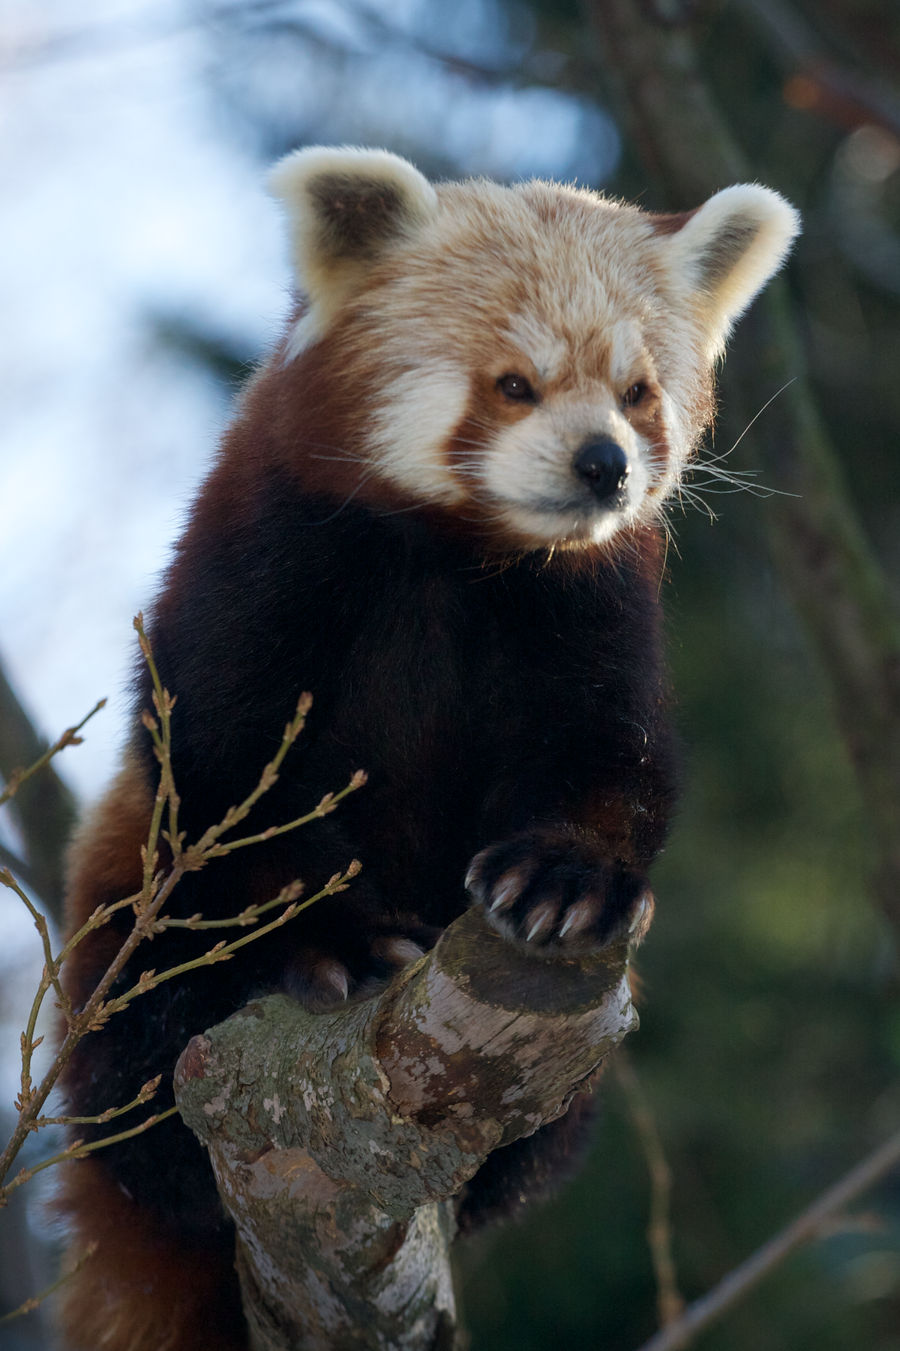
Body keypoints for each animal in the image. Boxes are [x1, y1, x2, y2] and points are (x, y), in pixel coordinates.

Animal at [57, 150, 794, 1351]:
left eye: (639, 393)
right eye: (514, 384)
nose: (604, 464)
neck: (458, 556)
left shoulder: (588, 610)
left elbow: (611, 756)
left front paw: (567, 882)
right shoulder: (264, 566)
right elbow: (232, 770)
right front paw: (338, 944)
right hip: (115, 925)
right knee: (141, 1034)